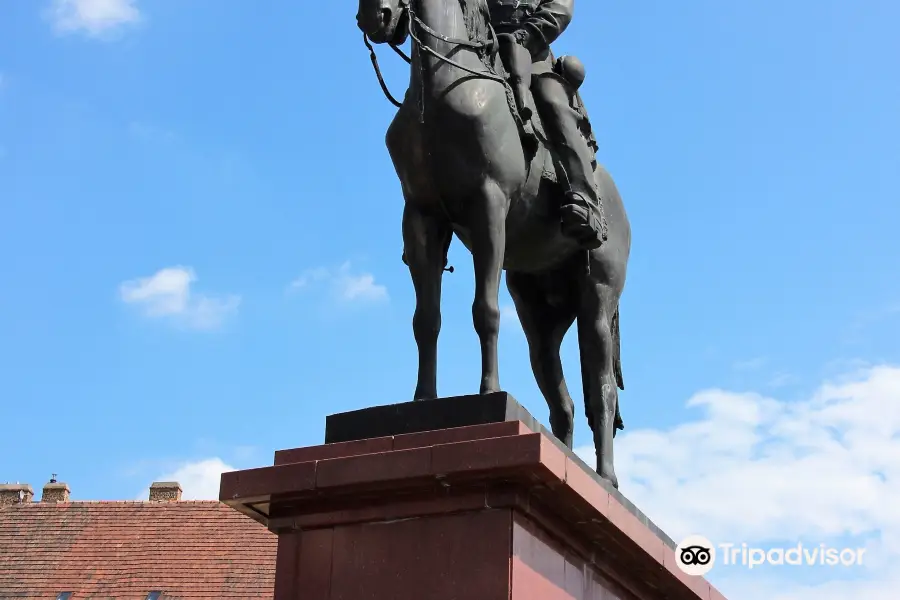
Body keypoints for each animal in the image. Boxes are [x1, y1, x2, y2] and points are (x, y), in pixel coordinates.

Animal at [356, 0, 628, 488]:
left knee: (600, 389)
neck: (442, 88)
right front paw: (423, 401)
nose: (376, 16)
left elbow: (485, 310)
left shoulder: (488, 209)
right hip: (540, 316)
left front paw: (488, 392)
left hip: (598, 300)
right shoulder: (422, 219)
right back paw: (566, 458)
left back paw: (604, 478)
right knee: (562, 398)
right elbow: (426, 320)